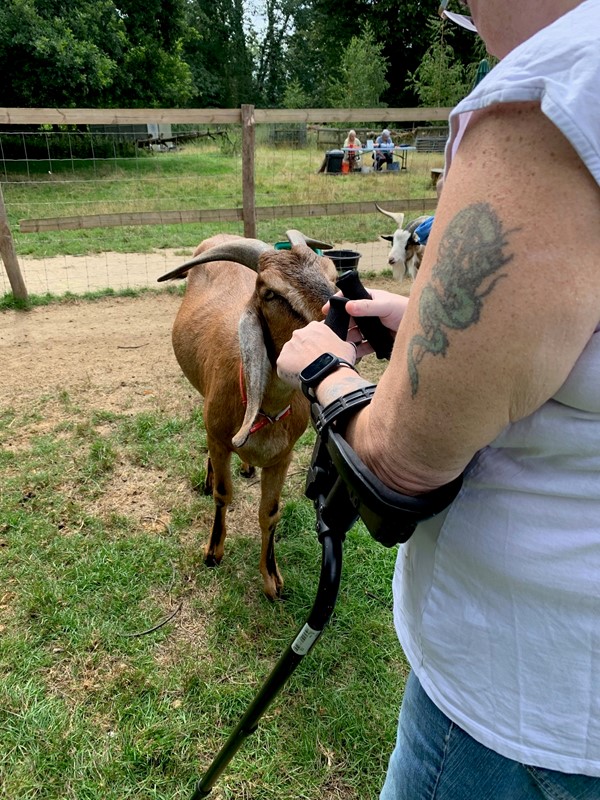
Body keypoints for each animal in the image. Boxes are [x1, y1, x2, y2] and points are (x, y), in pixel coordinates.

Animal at [157, 228, 338, 596]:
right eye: (271, 293)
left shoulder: (283, 457)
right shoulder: (218, 435)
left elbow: (270, 512)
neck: (266, 411)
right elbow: (222, 494)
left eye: (334, 275)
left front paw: (272, 579)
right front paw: (213, 553)